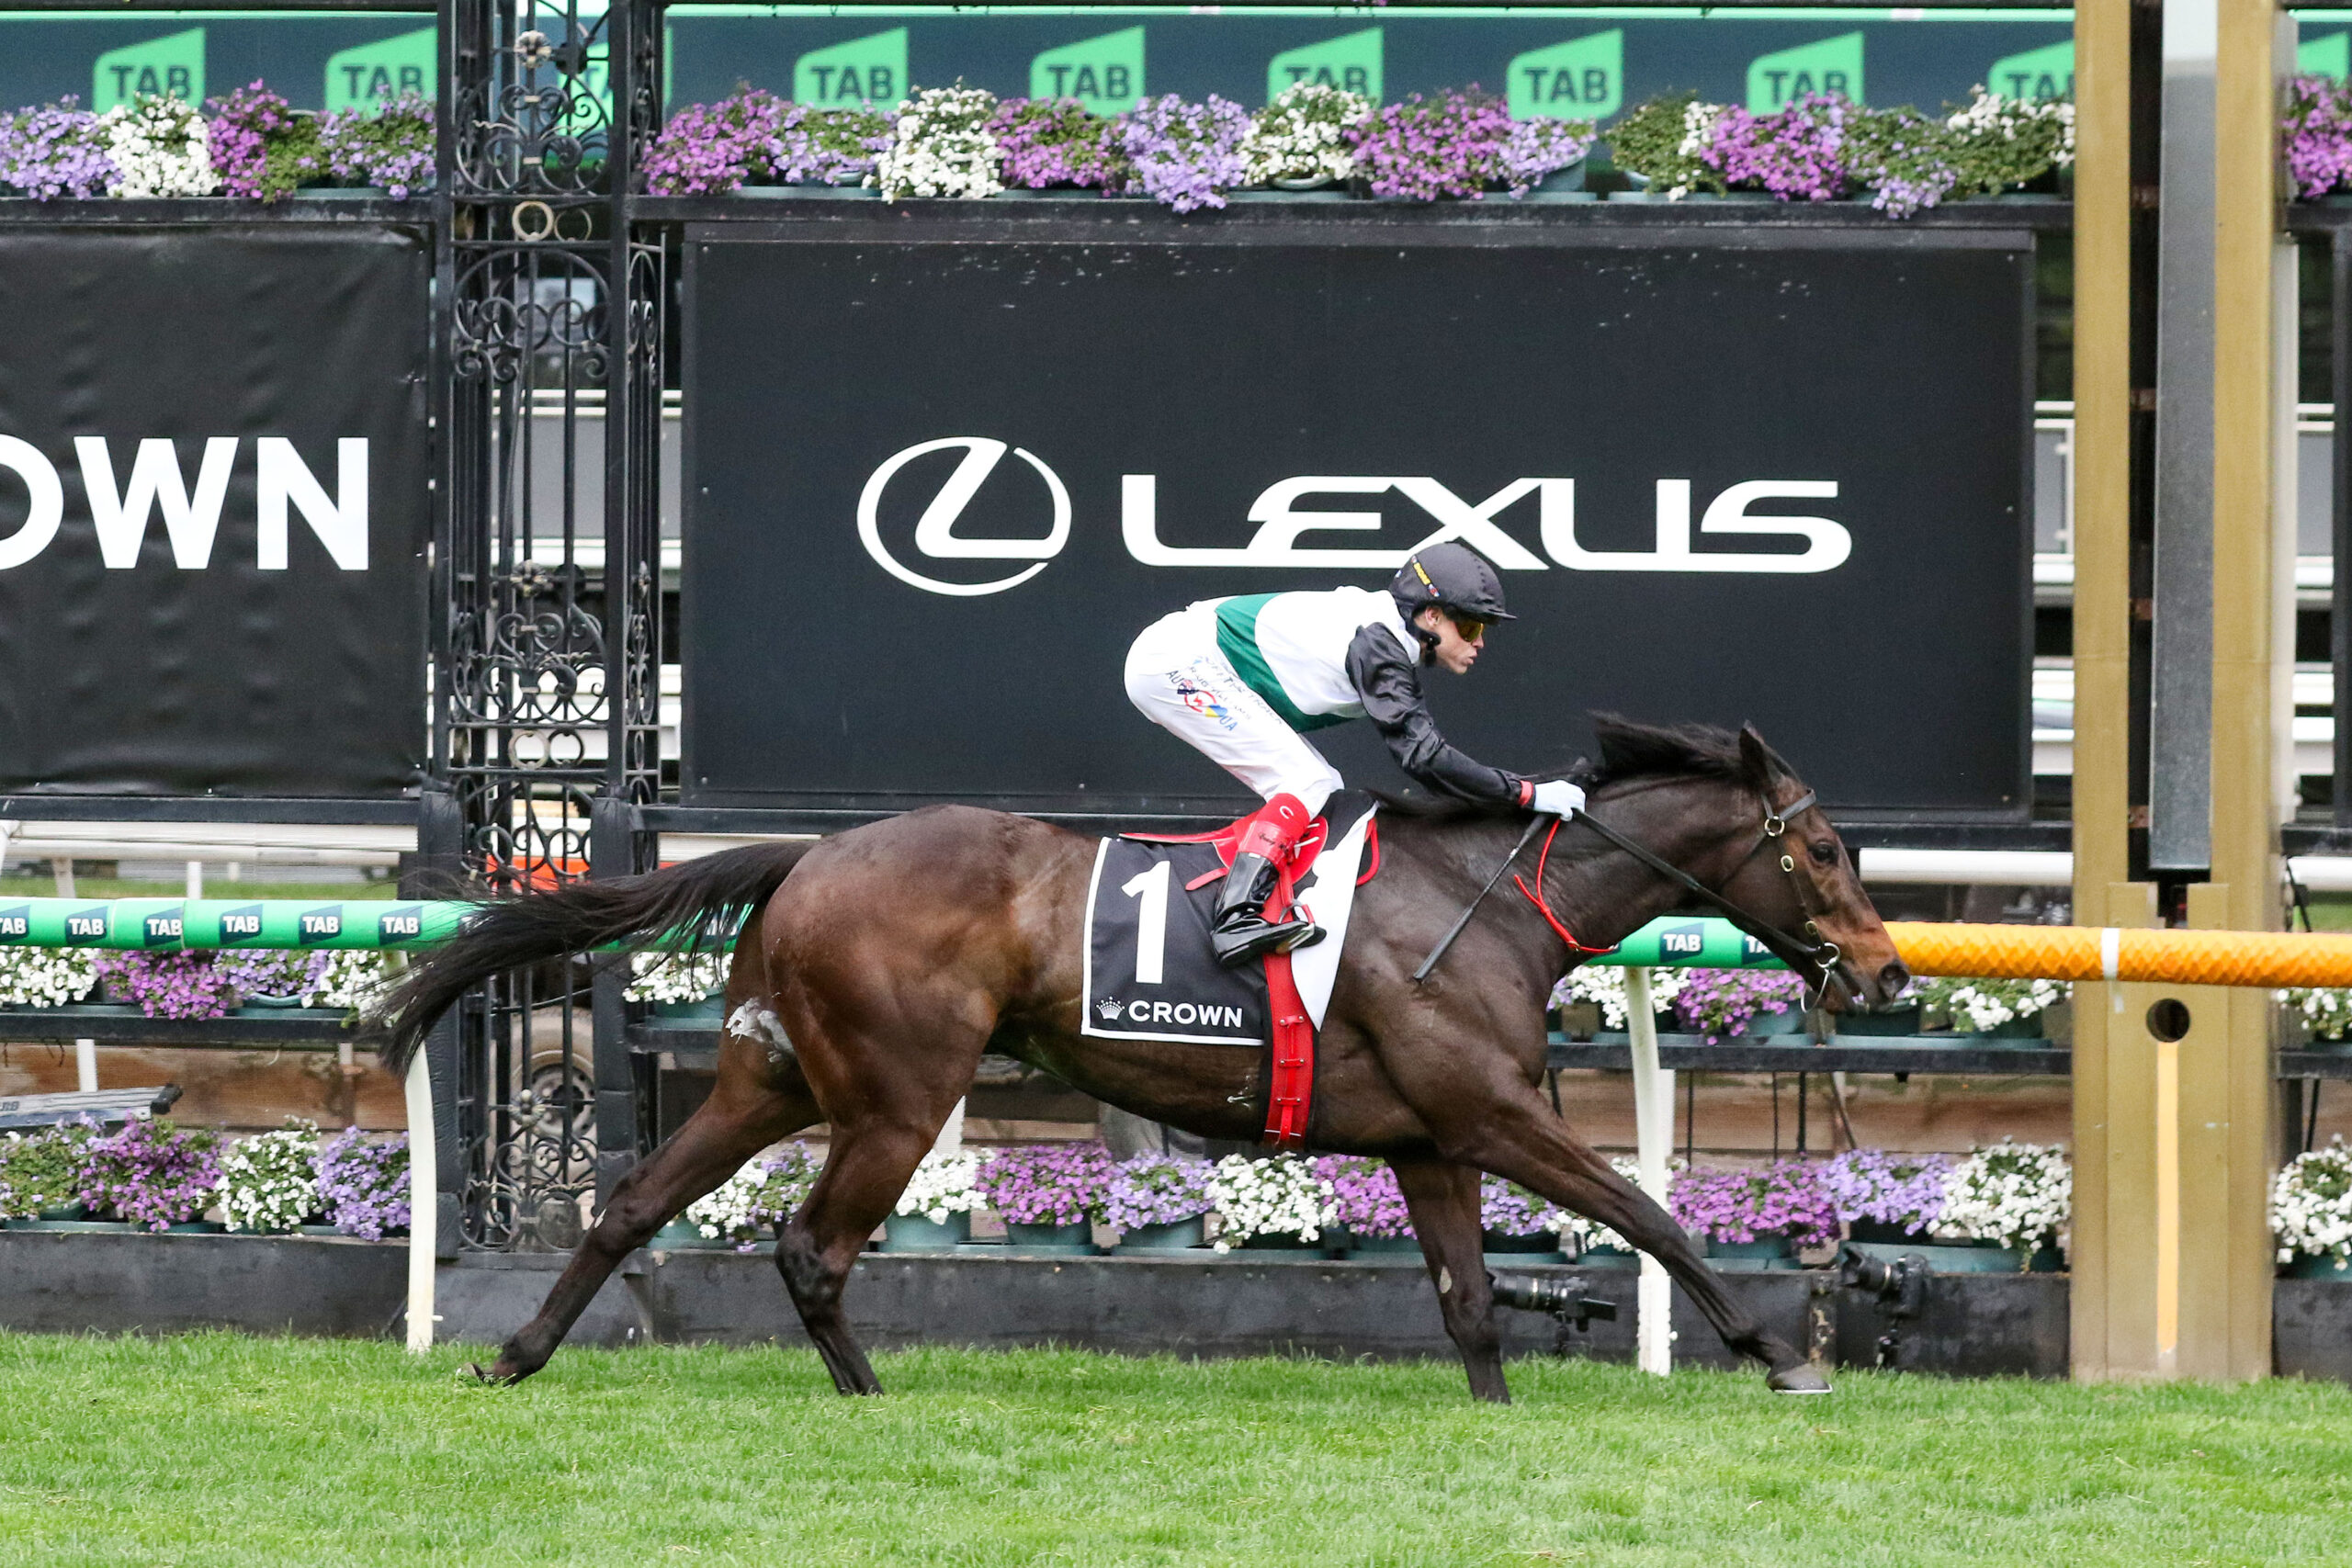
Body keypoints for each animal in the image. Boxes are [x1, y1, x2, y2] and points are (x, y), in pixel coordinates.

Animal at [370, 716, 1910, 1402]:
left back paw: (512, 1353)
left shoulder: (1427, 1139)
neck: (1488, 901)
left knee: (630, 1201)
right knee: (811, 1244)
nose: (1889, 971)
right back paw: (866, 1393)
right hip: (899, 1093)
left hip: (774, 1075)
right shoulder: (1491, 1112)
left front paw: (1497, 1413)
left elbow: (1473, 1299)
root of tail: (807, 855)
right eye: (1830, 847)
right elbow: (1655, 1213)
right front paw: (1779, 1354)